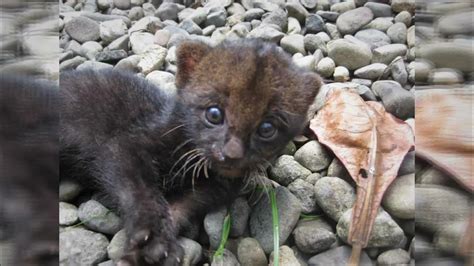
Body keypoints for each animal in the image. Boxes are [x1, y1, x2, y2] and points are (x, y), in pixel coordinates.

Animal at [60, 38, 322, 264]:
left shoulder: (218, 187)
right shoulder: (125, 146)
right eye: (214, 114)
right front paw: (150, 236)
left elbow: (182, 207)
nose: (232, 153)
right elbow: (141, 192)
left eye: (267, 128)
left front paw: (157, 247)